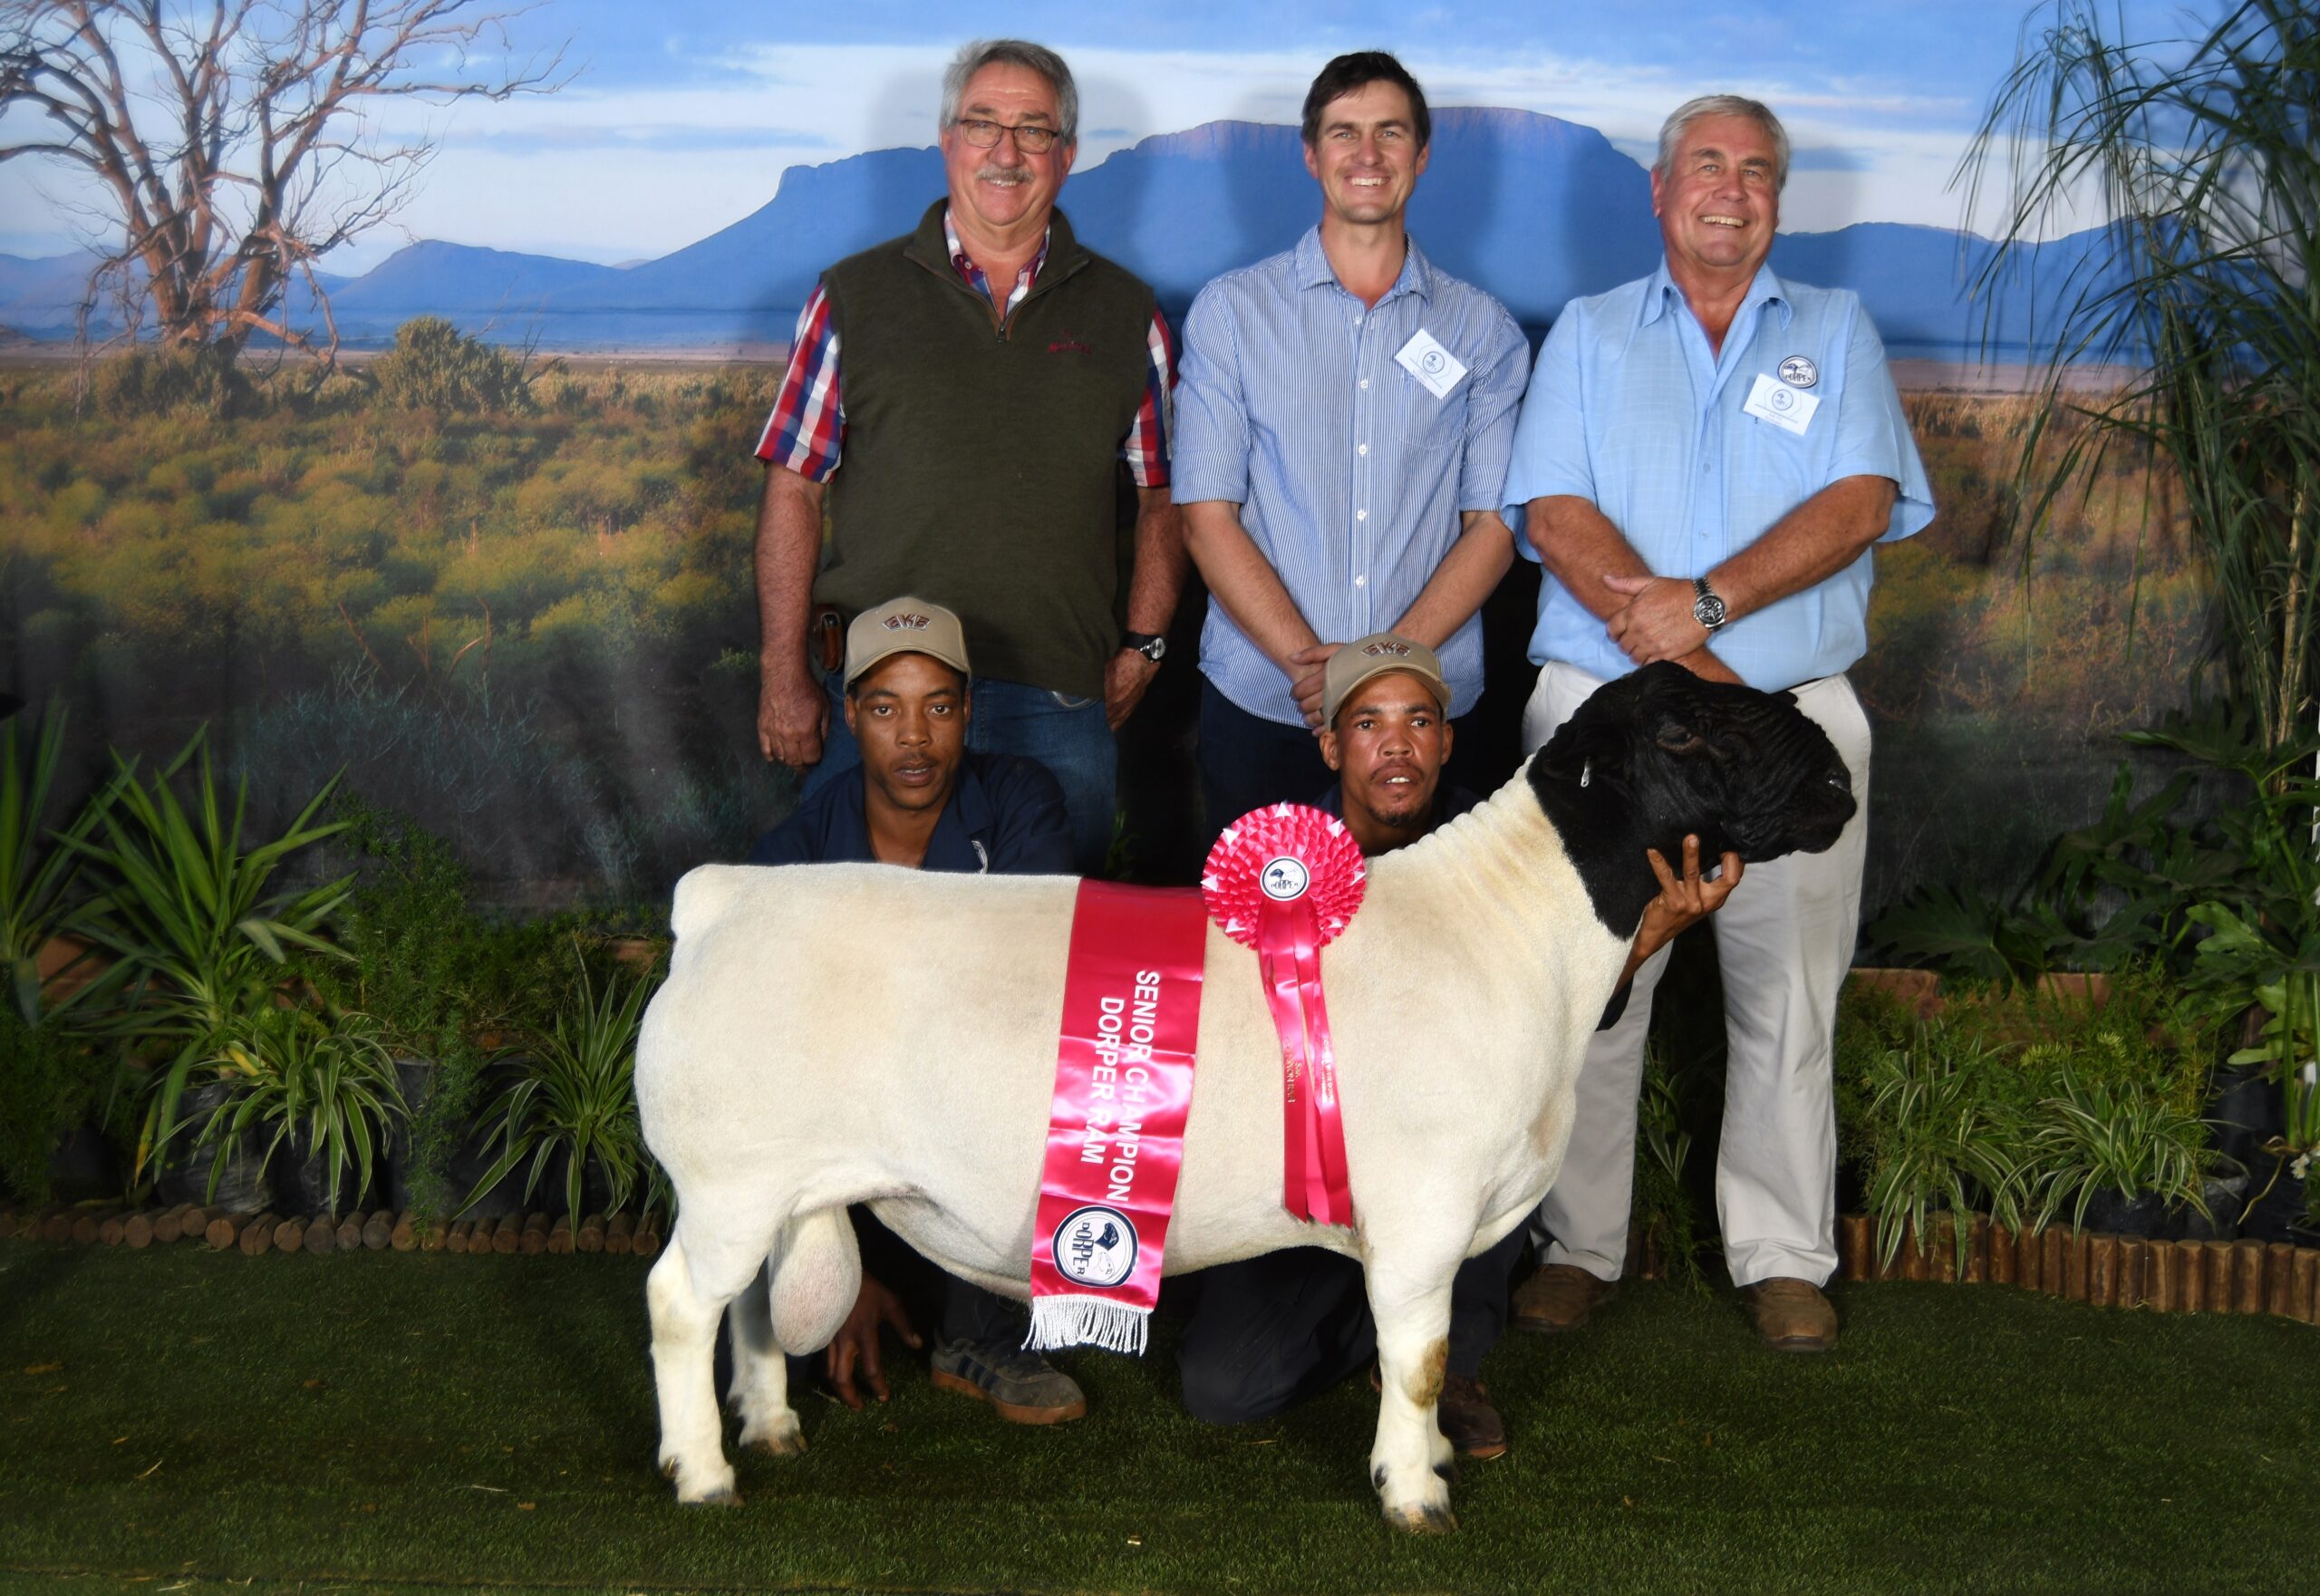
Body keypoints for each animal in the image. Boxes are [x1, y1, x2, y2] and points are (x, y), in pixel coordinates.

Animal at [636, 661, 1856, 1531]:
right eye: (1681, 732)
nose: (1838, 784)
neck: (1521, 927)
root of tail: (721, 898)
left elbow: (1435, 1358)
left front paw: (1433, 1455)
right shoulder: (1424, 1208)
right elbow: (1418, 1358)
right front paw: (1414, 1496)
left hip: (772, 1187)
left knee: (750, 1307)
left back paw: (772, 1430)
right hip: (729, 1175)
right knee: (680, 1303)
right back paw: (702, 1473)